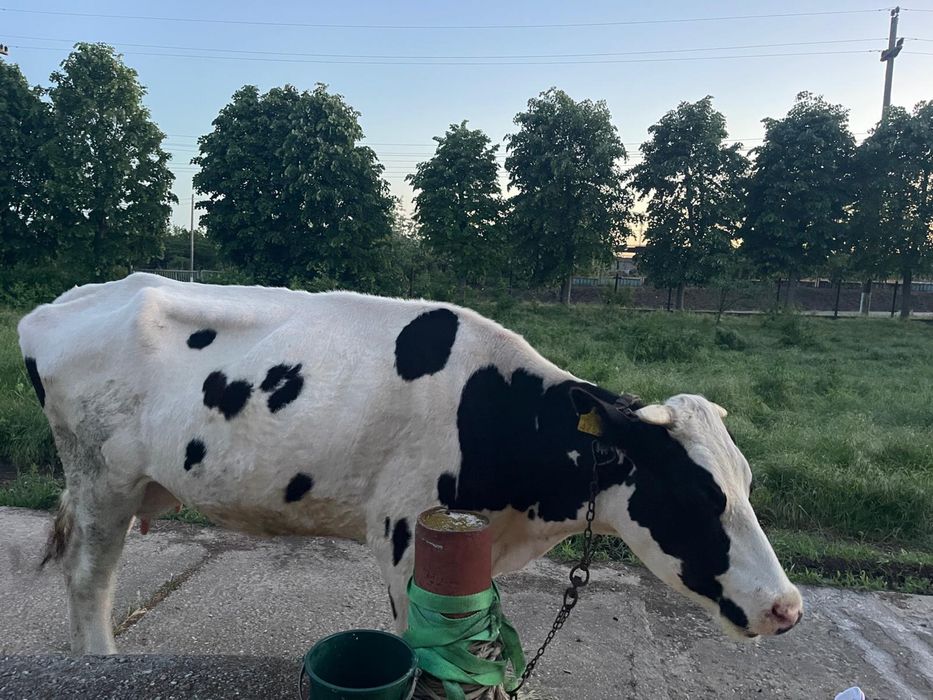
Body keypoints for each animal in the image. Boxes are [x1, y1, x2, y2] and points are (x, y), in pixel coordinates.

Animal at [18, 273, 802, 656]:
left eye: (747, 483)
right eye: (698, 496)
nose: (787, 608)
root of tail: (67, 301)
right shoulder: (404, 534)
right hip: (101, 480)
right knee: (90, 582)